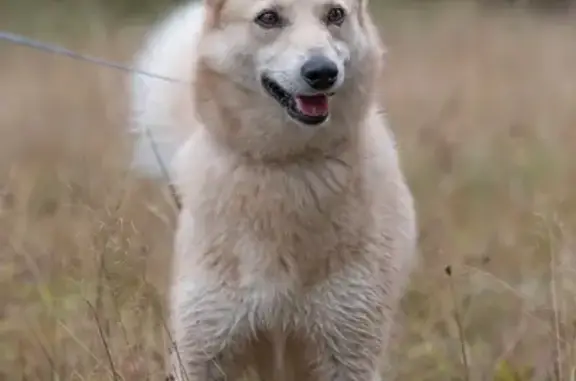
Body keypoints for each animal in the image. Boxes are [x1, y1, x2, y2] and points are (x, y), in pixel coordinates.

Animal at [129, 0, 418, 380]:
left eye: (335, 14)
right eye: (268, 18)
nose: (322, 72)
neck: (285, 165)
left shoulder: (348, 354)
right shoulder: (202, 351)